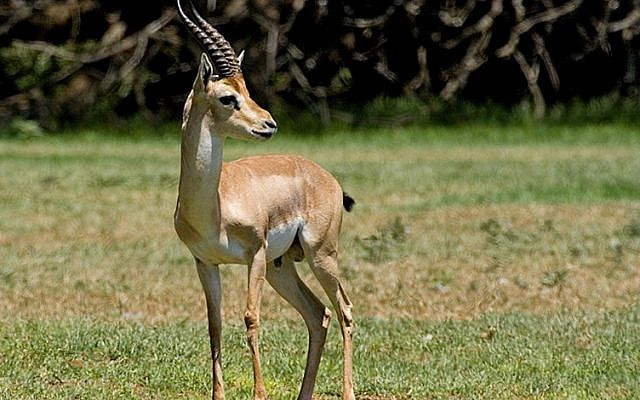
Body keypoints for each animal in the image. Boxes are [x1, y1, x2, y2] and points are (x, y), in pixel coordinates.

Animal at [173, 1, 355, 399]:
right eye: (229, 97)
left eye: (248, 90)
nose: (269, 123)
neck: (214, 207)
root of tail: (325, 176)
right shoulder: (204, 263)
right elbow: (214, 324)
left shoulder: (254, 255)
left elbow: (251, 319)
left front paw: (259, 393)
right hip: (282, 267)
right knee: (318, 315)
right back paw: (304, 395)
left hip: (321, 255)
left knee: (345, 310)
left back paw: (348, 392)